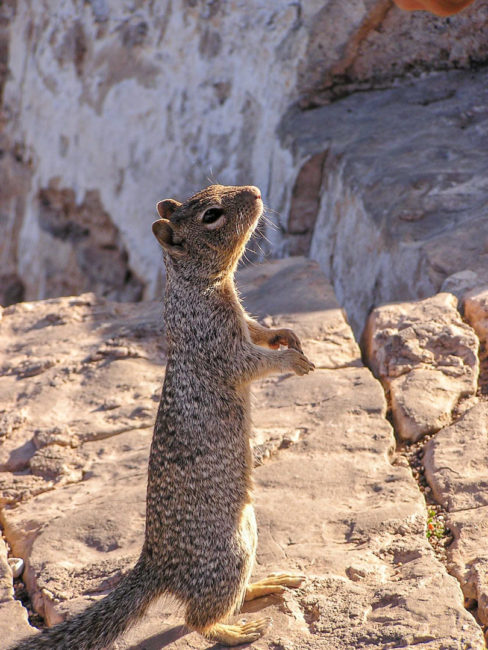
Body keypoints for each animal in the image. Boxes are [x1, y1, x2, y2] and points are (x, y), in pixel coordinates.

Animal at [12, 184, 316, 648]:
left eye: (213, 190)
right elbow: (254, 362)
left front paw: (285, 333)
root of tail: (155, 566)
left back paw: (266, 583)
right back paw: (238, 628)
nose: (256, 191)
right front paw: (292, 361)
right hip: (228, 556)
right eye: (212, 214)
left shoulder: (240, 319)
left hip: (250, 534)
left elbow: (258, 328)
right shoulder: (220, 347)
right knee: (197, 618)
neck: (195, 288)